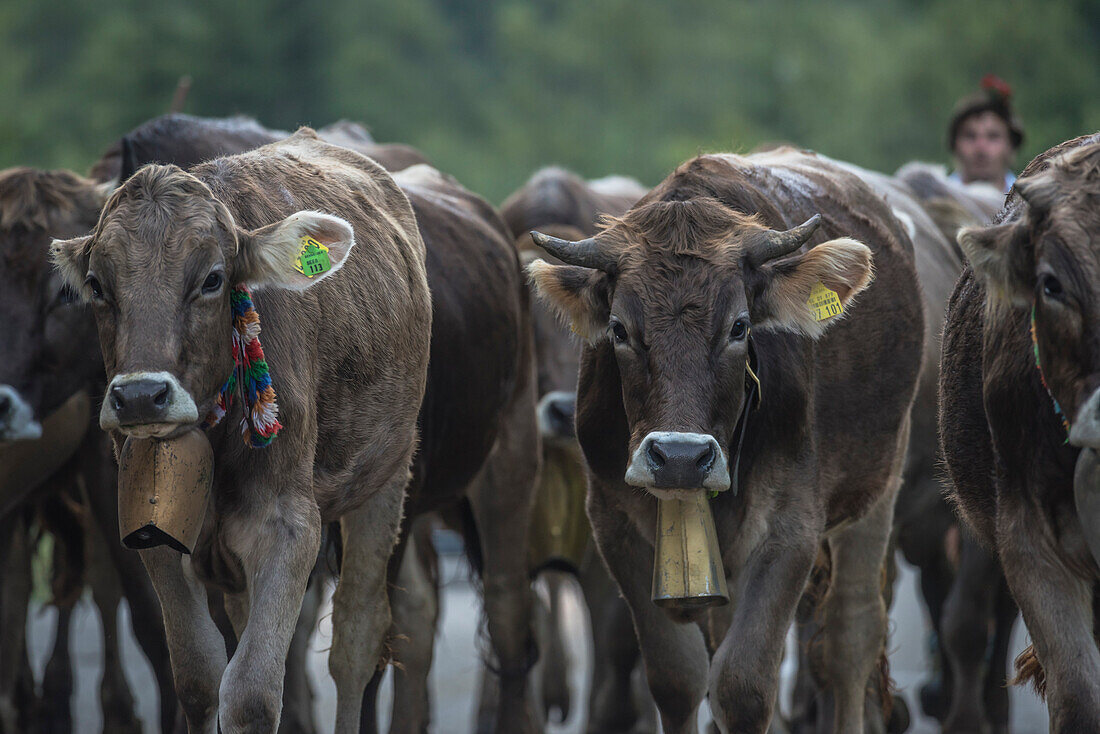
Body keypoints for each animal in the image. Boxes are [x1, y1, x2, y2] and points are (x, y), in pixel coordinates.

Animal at [52, 129, 433, 730]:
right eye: (96, 285)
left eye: (212, 278)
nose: (140, 395)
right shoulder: (154, 527)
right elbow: (199, 675)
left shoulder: (288, 523)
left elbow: (252, 691)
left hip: (388, 473)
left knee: (356, 639)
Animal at [528, 146, 924, 730]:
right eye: (619, 329)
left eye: (739, 327)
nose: (680, 458)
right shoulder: (615, 525)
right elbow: (677, 677)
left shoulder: (791, 529)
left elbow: (742, 685)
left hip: (877, 492)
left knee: (850, 638)